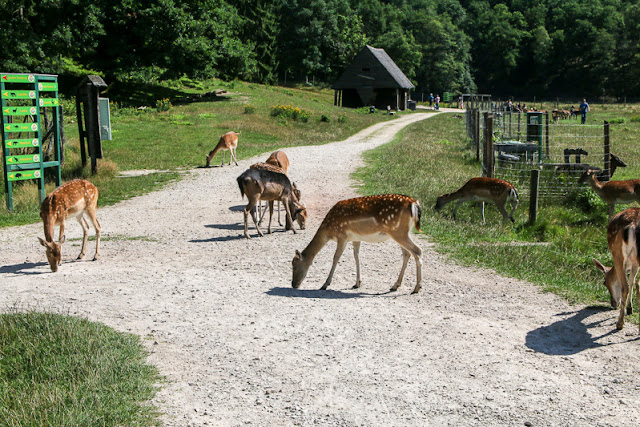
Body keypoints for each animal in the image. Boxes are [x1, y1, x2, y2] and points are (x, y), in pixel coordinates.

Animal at [292, 196, 422, 294]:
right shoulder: (356, 238)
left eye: (294, 265)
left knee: (417, 251)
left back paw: (417, 288)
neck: (328, 230)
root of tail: (414, 203)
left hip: (398, 231)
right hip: (403, 232)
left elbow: (336, 258)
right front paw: (357, 283)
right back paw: (395, 285)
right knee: (407, 253)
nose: (293, 284)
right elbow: (356, 256)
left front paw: (325, 284)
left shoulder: (342, 235)